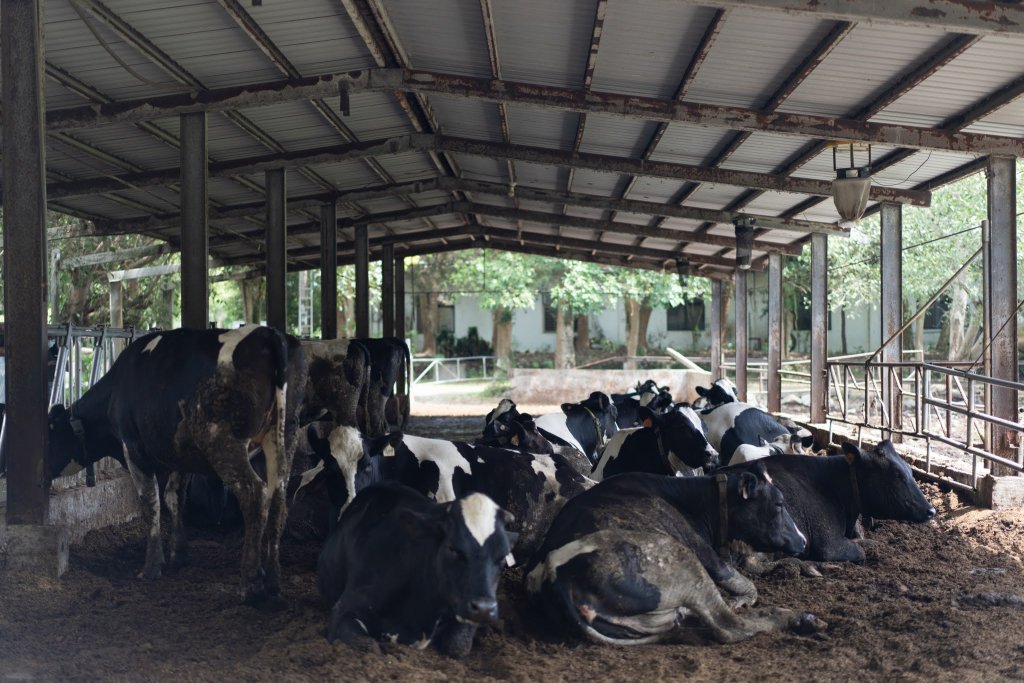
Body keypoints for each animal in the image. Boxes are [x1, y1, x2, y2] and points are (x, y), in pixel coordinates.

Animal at [46, 327, 307, 606]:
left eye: (48, 434)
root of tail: (267, 333)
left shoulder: (134, 449)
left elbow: (150, 503)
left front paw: (151, 567)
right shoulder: (178, 454)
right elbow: (175, 498)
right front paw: (178, 555)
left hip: (224, 442)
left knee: (254, 494)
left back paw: (250, 583)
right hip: (284, 435)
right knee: (278, 498)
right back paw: (273, 584)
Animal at [317, 483, 516, 659]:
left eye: (503, 555)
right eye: (452, 548)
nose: (484, 608)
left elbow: (458, 646)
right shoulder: (344, 609)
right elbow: (371, 647)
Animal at [528, 464, 815, 647]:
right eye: (779, 504)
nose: (803, 540)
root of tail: (556, 576)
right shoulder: (700, 547)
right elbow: (741, 581)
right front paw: (741, 599)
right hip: (683, 561)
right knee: (728, 625)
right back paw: (800, 618)